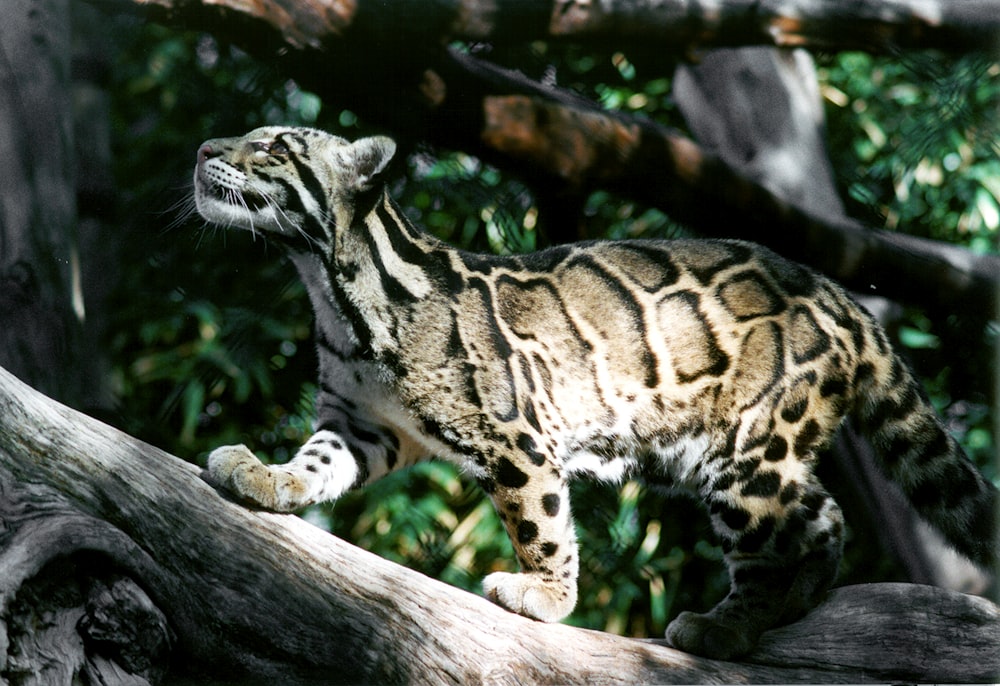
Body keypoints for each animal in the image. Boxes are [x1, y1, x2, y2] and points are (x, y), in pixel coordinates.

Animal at [191, 125, 996, 660]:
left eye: (274, 147)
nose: (202, 151)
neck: (333, 289)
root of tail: (839, 295)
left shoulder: (515, 432)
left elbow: (540, 518)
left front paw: (546, 596)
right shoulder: (360, 422)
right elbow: (316, 463)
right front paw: (267, 476)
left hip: (747, 451)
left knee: (779, 535)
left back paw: (729, 624)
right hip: (718, 455)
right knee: (823, 512)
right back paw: (793, 601)